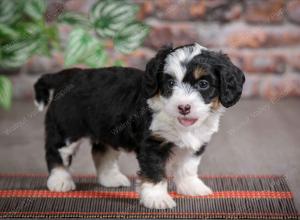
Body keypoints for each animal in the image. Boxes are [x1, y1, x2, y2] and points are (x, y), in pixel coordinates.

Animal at [34, 43, 245, 210]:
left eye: (203, 84)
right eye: (170, 83)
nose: (184, 107)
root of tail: (69, 75)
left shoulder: (197, 142)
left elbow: (188, 167)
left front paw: (191, 187)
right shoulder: (152, 143)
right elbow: (155, 171)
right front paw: (157, 198)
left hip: (108, 130)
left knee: (102, 152)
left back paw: (111, 178)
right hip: (66, 129)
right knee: (56, 152)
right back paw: (60, 181)